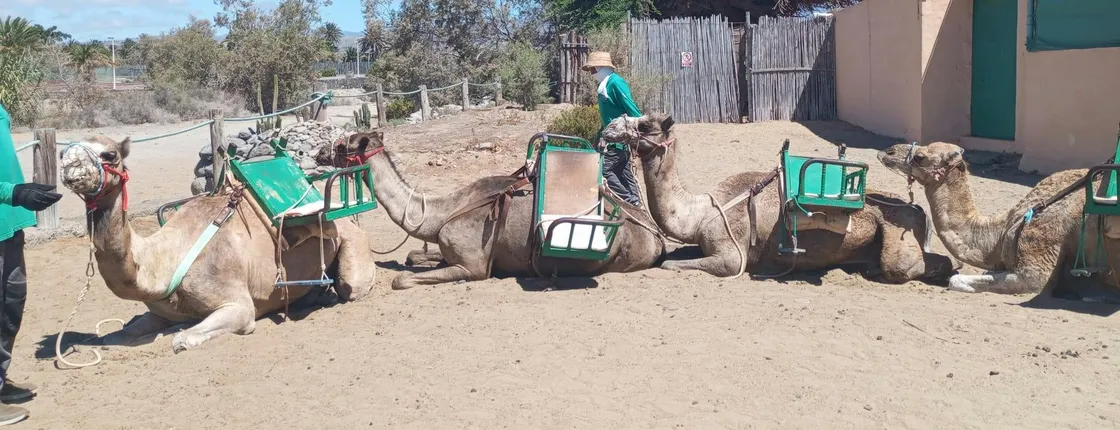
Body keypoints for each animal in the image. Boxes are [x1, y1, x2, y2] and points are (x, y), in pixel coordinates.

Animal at [58, 136, 377, 353]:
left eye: (109, 154)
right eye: (64, 150)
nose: (69, 166)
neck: (167, 260)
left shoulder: (238, 305)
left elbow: (183, 339)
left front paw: (179, 335)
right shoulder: (157, 312)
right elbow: (117, 335)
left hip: (353, 250)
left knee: (350, 286)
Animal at [333, 131, 666, 289]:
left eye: (343, 145)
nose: (323, 152)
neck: (442, 214)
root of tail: (656, 235)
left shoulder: (474, 267)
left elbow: (400, 280)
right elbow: (413, 255)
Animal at [601, 114, 956, 282]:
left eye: (644, 124)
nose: (608, 129)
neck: (701, 212)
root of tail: (918, 209)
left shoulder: (731, 256)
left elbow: (670, 265)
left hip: (898, 241)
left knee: (912, 266)